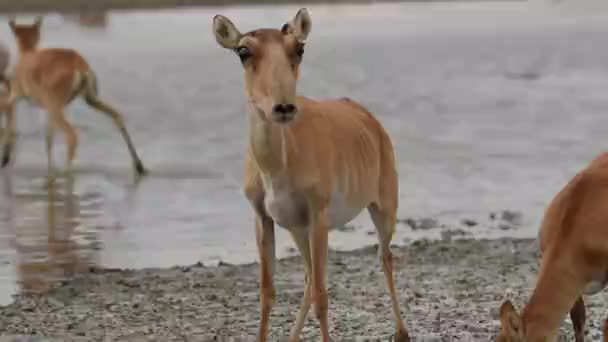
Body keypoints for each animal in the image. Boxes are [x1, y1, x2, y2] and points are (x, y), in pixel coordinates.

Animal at [0, 17, 146, 179]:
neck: (27, 56)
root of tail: (78, 63)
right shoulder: (46, 109)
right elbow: (49, 138)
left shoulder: (15, 96)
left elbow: (8, 115)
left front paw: (5, 158)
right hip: (89, 100)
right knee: (117, 117)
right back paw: (139, 166)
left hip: (56, 107)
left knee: (72, 135)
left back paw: (66, 174)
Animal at [211, 8, 410, 342]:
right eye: (243, 50)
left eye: (299, 48)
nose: (284, 107)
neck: (278, 168)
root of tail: (369, 119)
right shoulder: (264, 217)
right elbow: (268, 293)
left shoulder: (318, 216)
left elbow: (322, 296)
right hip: (298, 230)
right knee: (306, 277)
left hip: (383, 208)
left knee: (385, 258)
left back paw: (402, 332)